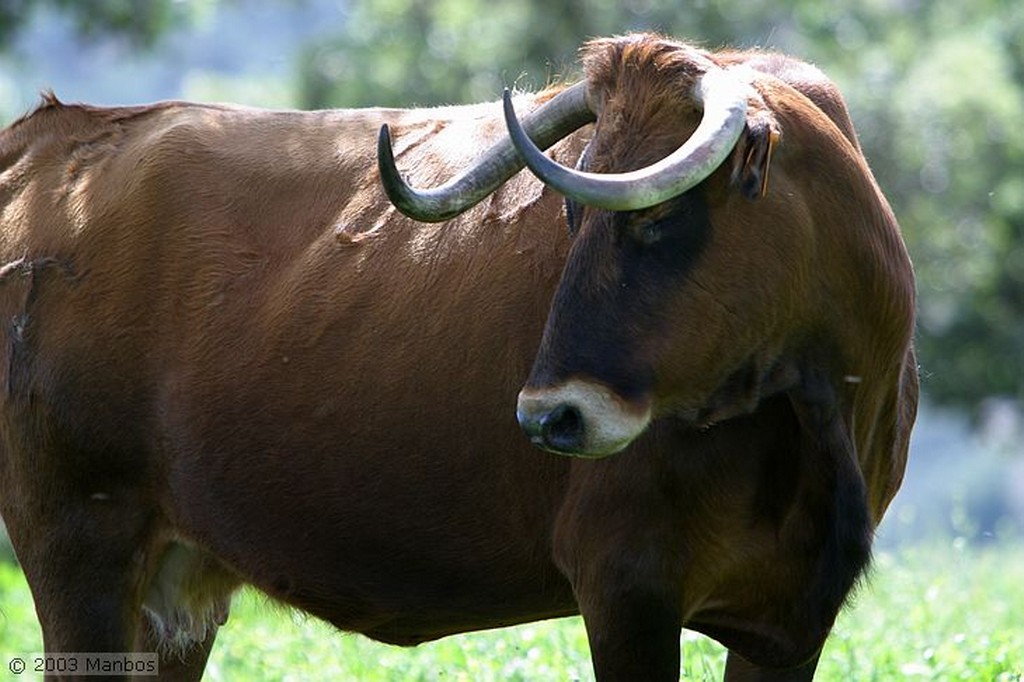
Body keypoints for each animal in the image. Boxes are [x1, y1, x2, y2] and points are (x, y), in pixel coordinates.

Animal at [0, 33, 913, 679]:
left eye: (656, 217)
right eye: (571, 217)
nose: (550, 417)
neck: (817, 413)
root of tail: (50, 135)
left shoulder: (789, 619)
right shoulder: (627, 586)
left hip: (175, 588)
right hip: (76, 548)